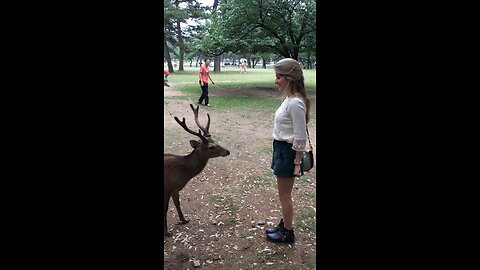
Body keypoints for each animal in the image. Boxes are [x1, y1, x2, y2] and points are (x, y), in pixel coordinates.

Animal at [163, 103, 231, 236]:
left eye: (215, 141)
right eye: (211, 147)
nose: (227, 151)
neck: (182, 173)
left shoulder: (175, 189)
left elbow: (177, 204)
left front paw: (184, 220)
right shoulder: (167, 188)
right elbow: (166, 209)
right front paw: (167, 232)